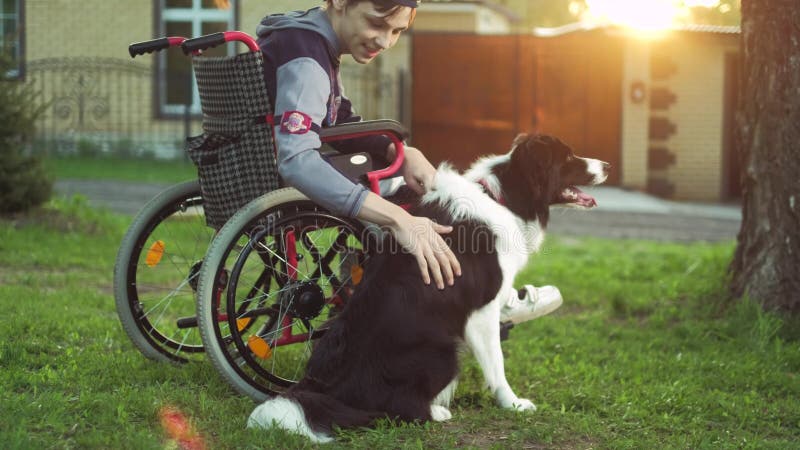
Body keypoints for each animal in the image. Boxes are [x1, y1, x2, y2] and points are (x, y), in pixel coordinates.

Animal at [248, 134, 608, 442]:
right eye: (568, 157)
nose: (607, 166)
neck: (504, 196)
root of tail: (330, 392)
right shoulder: (481, 311)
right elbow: (497, 364)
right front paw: (514, 403)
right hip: (444, 350)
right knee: (398, 411)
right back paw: (436, 411)